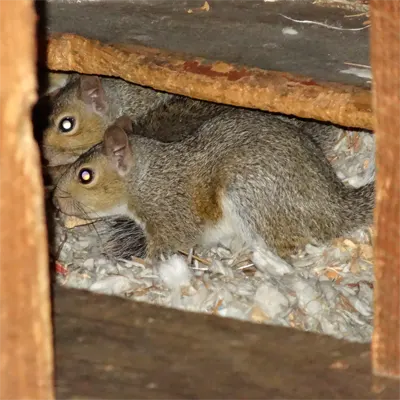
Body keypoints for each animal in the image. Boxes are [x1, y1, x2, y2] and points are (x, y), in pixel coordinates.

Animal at [51, 103, 374, 260]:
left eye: (85, 175)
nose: (55, 200)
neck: (147, 179)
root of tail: (333, 206)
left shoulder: (171, 215)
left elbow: (169, 245)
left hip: (250, 194)